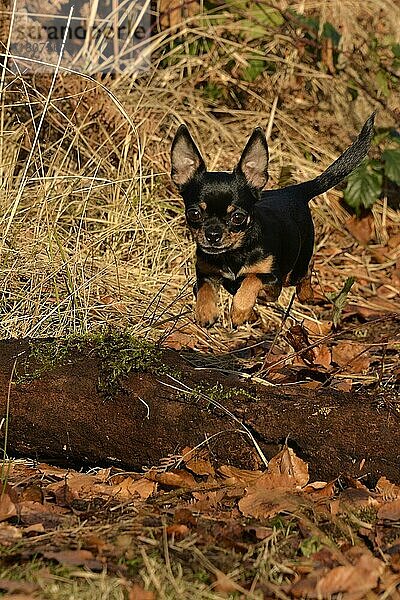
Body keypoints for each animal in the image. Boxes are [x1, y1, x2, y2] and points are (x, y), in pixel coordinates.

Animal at [171, 112, 376, 328]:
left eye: (238, 217)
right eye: (194, 214)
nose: (212, 235)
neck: (234, 255)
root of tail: (294, 190)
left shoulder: (272, 282)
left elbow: (252, 279)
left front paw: (239, 311)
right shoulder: (206, 273)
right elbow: (204, 288)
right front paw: (206, 311)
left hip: (292, 272)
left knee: (306, 268)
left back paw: (306, 294)